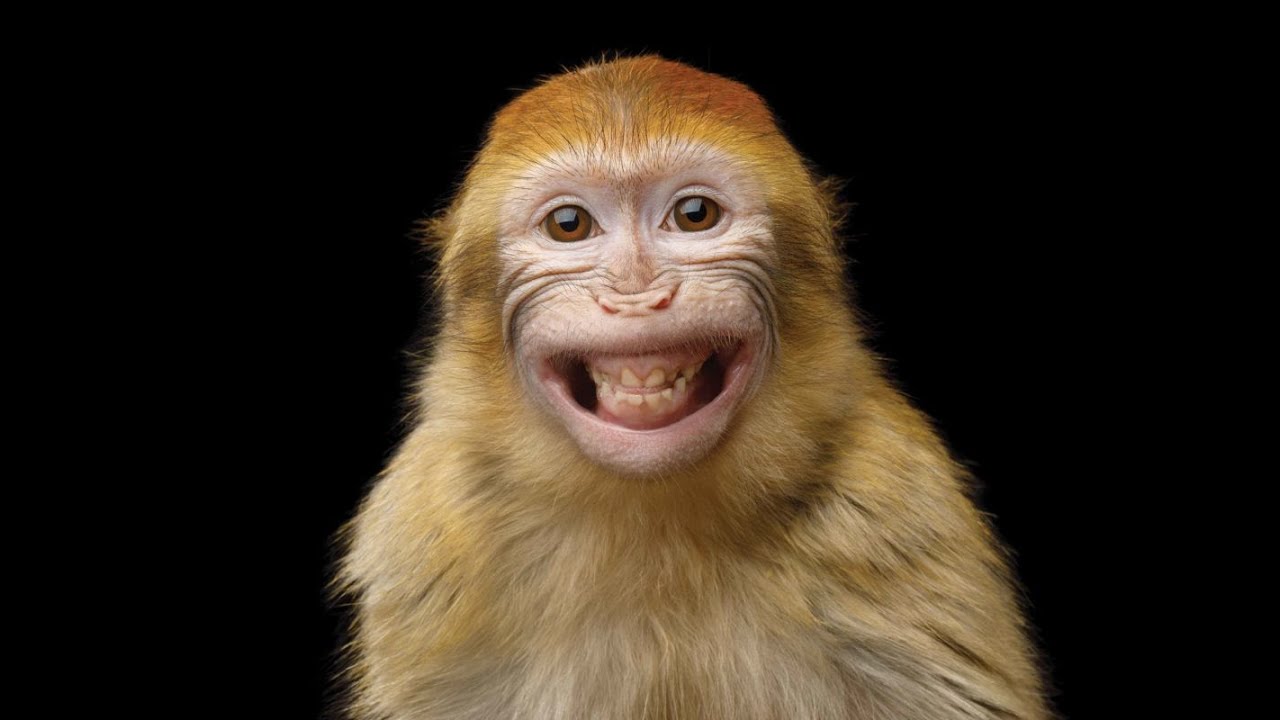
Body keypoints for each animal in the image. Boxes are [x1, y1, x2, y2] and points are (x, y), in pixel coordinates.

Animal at [335, 56, 1051, 719]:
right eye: (569, 224)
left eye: (694, 214)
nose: (636, 293)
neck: (653, 520)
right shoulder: (425, 535)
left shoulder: (900, 511)